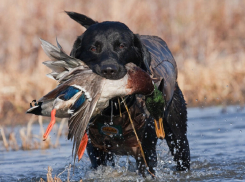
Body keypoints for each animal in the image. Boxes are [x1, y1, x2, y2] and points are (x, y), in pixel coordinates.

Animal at [65, 11, 189, 176]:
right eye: (93, 48)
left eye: (121, 46)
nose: (109, 70)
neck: (114, 110)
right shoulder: (96, 151)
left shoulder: (145, 151)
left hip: (178, 136)